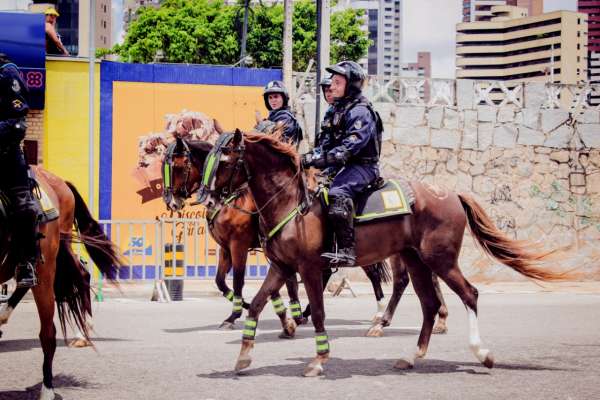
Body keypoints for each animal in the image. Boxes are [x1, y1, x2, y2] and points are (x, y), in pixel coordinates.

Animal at [200, 130, 568, 376]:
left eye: (224, 161)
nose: (207, 199)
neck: (291, 202)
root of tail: (450, 193)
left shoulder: (309, 269)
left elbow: (317, 313)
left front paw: (319, 359)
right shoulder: (280, 267)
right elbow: (257, 304)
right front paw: (244, 355)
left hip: (440, 259)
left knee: (469, 294)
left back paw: (482, 353)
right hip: (416, 261)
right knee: (429, 304)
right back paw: (411, 355)